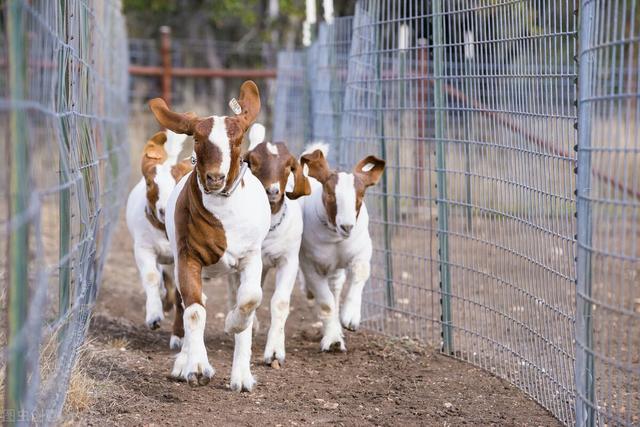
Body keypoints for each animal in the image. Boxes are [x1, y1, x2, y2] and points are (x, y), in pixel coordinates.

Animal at [126, 130, 191, 338]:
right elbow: (151, 276)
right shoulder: (143, 248)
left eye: (177, 184)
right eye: (149, 183)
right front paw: (154, 316)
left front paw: (178, 336)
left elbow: (180, 292)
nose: (164, 210)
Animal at [150, 79, 270, 392]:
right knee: (187, 303)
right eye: (197, 140)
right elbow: (194, 310)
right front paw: (196, 365)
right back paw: (184, 361)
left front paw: (233, 325)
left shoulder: (251, 256)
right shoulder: (187, 256)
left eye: (237, 141)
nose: (215, 178)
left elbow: (250, 298)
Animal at [240, 122, 310, 366]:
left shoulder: (288, 260)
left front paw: (274, 352)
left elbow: (279, 302)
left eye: (289, 166)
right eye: (252, 163)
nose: (272, 191)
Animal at [296, 145, 382, 352]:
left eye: (361, 196)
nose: (347, 226)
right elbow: (325, 302)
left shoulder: (362, 252)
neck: (335, 238)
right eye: (330, 194)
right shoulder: (310, 264)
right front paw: (333, 340)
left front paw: (350, 317)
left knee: (335, 287)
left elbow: (359, 273)